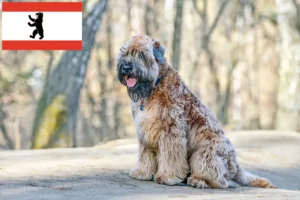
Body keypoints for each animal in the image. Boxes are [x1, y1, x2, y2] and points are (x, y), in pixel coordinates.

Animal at [116, 34, 276, 189]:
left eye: (142, 54)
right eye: (124, 53)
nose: (126, 67)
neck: (154, 86)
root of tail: (235, 165)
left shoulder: (170, 131)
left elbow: (171, 157)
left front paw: (168, 177)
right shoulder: (145, 131)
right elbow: (145, 155)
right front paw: (142, 172)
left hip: (205, 153)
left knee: (219, 180)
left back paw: (199, 181)